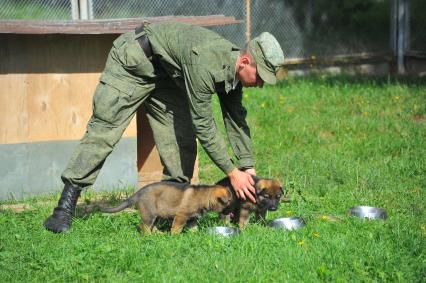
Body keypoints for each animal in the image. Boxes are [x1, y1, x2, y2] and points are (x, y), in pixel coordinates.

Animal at [99, 182, 231, 235]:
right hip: (149, 213)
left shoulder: (193, 219)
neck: (204, 197)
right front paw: (175, 237)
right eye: (228, 203)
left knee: (152, 227)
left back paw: (160, 235)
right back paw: (149, 237)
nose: (231, 214)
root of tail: (138, 193)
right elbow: (177, 228)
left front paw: (195, 235)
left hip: (156, 215)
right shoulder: (181, 216)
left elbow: (193, 229)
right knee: (144, 226)